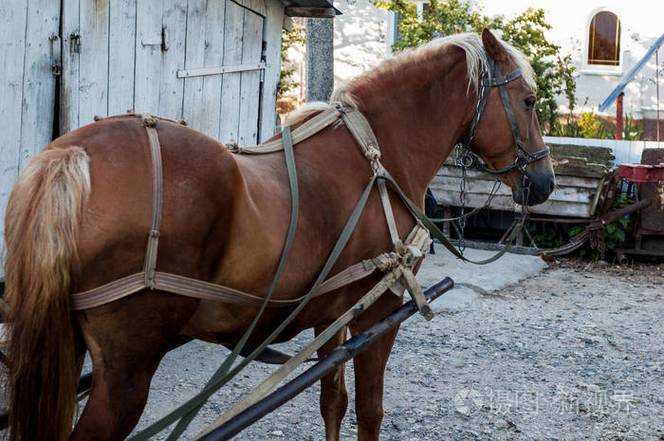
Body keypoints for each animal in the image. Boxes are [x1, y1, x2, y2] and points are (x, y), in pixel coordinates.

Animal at [3, 29, 554, 441]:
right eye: (528, 101)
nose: (544, 182)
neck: (377, 156)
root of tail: (70, 156)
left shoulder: (333, 315)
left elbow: (333, 402)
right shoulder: (379, 312)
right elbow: (370, 411)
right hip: (126, 372)